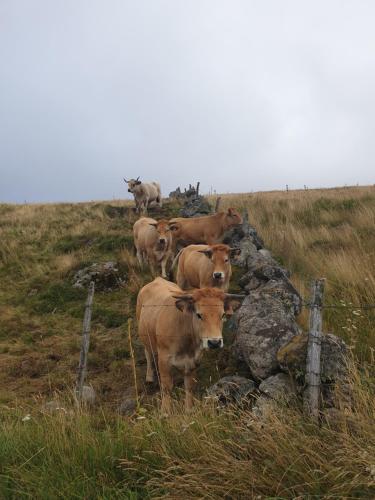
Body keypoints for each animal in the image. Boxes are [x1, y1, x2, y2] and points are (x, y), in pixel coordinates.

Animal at [137, 280, 245, 412]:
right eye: (199, 315)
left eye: (223, 315)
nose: (214, 342)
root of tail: (157, 279)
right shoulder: (164, 360)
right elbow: (167, 387)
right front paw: (165, 411)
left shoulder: (194, 361)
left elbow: (189, 387)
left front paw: (189, 409)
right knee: (148, 354)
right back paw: (149, 377)